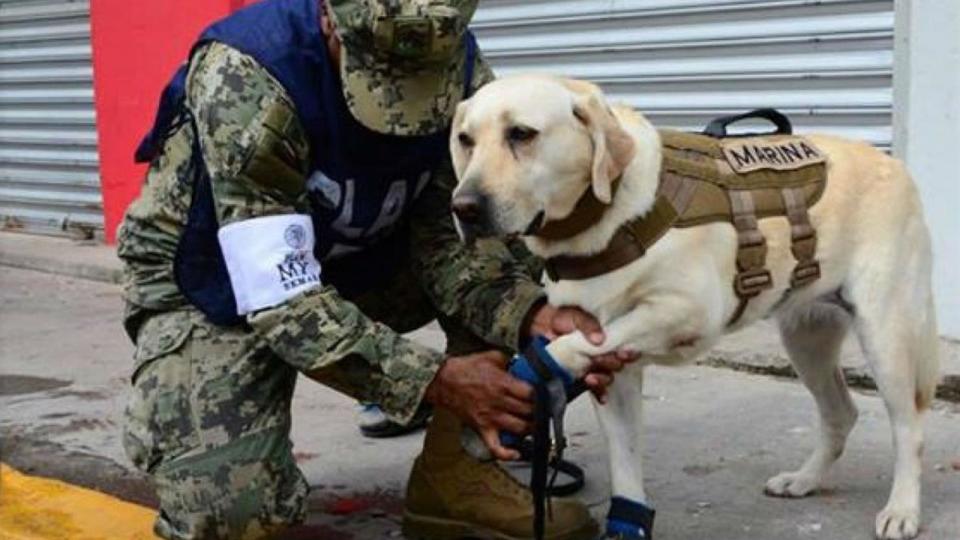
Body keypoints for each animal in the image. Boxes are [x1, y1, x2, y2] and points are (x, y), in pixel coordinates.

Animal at [450, 76, 936, 540]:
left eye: (521, 133)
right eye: (465, 140)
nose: (463, 207)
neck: (603, 218)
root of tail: (894, 164)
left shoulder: (688, 312)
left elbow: (570, 345)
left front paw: (526, 375)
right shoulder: (616, 376)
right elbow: (624, 470)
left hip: (884, 335)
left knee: (909, 426)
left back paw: (902, 510)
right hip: (807, 339)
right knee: (841, 412)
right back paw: (804, 479)